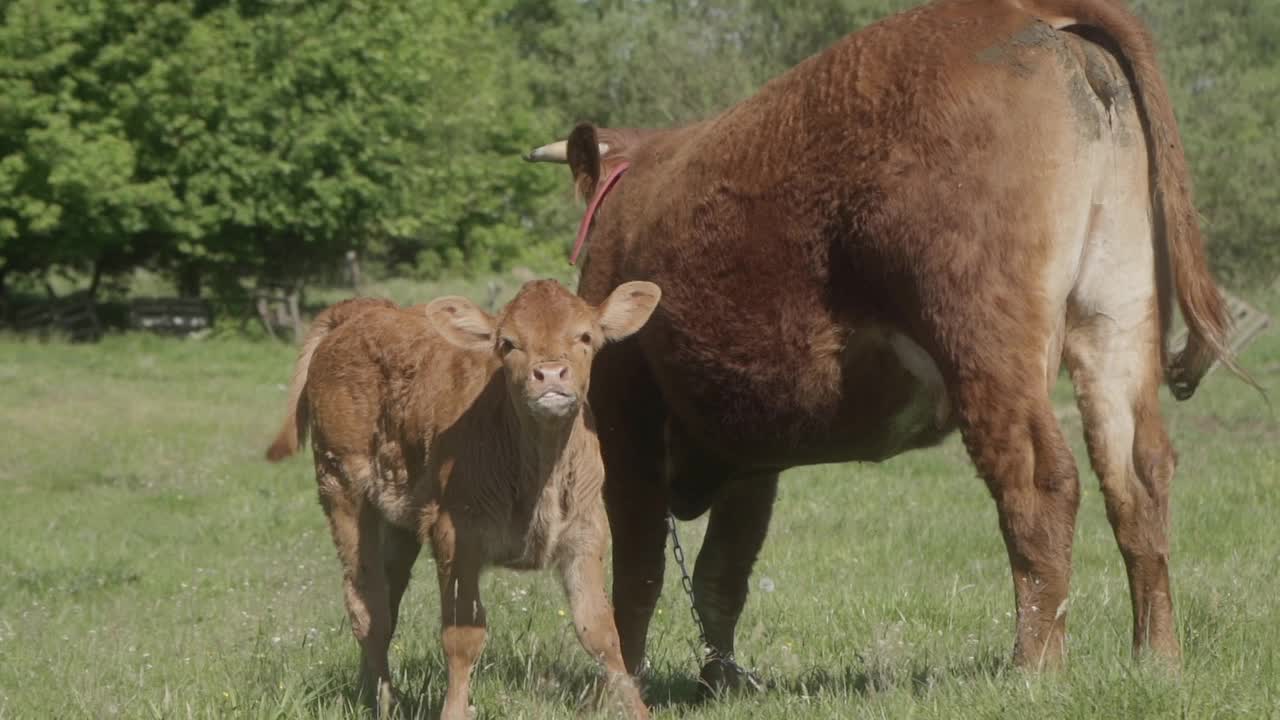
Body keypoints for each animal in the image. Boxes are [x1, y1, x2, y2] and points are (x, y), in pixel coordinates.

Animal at [259, 279, 660, 717]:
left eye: (585, 336)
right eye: (508, 343)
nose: (551, 373)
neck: (539, 472)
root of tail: (363, 310)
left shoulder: (586, 534)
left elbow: (601, 632)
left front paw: (637, 708)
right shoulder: (456, 536)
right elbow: (463, 637)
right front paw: (453, 709)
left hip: (400, 517)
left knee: (387, 598)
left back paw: (371, 692)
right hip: (341, 488)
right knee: (368, 607)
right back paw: (386, 702)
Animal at [522, 0, 1249, 691]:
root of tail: (1025, 13)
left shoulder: (627, 416)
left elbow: (638, 572)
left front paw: (619, 683)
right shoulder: (752, 452)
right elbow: (721, 574)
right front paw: (719, 683)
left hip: (984, 330)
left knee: (1041, 481)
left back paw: (1034, 671)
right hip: (1115, 310)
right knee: (1137, 475)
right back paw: (1157, 662)